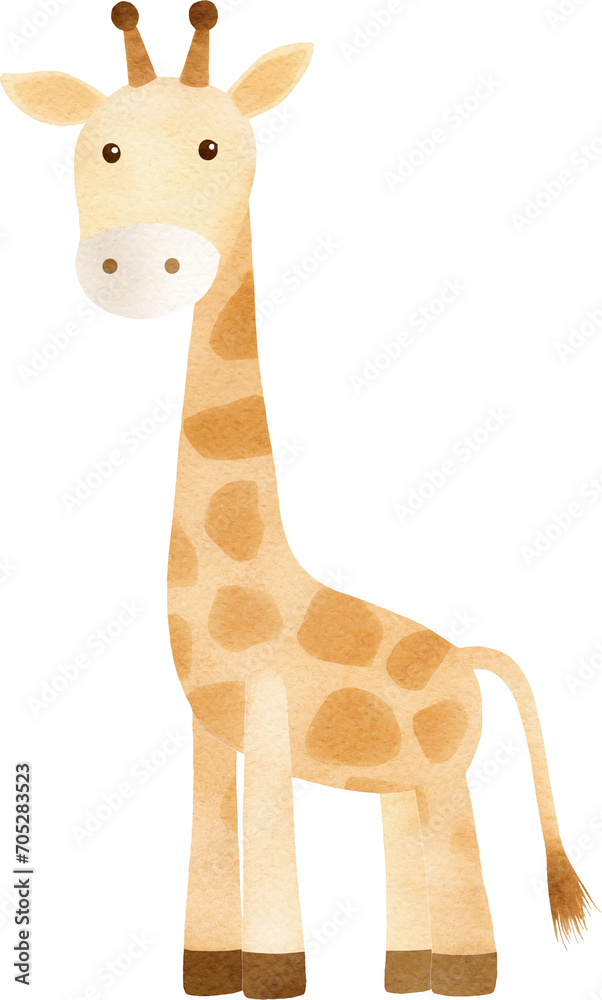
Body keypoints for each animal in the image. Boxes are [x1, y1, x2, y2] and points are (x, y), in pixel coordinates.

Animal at [2, 3, 593, 997]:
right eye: (103, 147)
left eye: (215, 145)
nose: (138, 264)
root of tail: (469, 657)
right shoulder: (208, 722)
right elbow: (211, 833)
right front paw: (209, 970)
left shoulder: (270, 712)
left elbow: (271, 841)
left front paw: (277, 974)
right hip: (395, 781)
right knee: (404, 849)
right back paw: (405, 973)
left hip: (445, 772)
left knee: (458, 847)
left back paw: (464, 974)